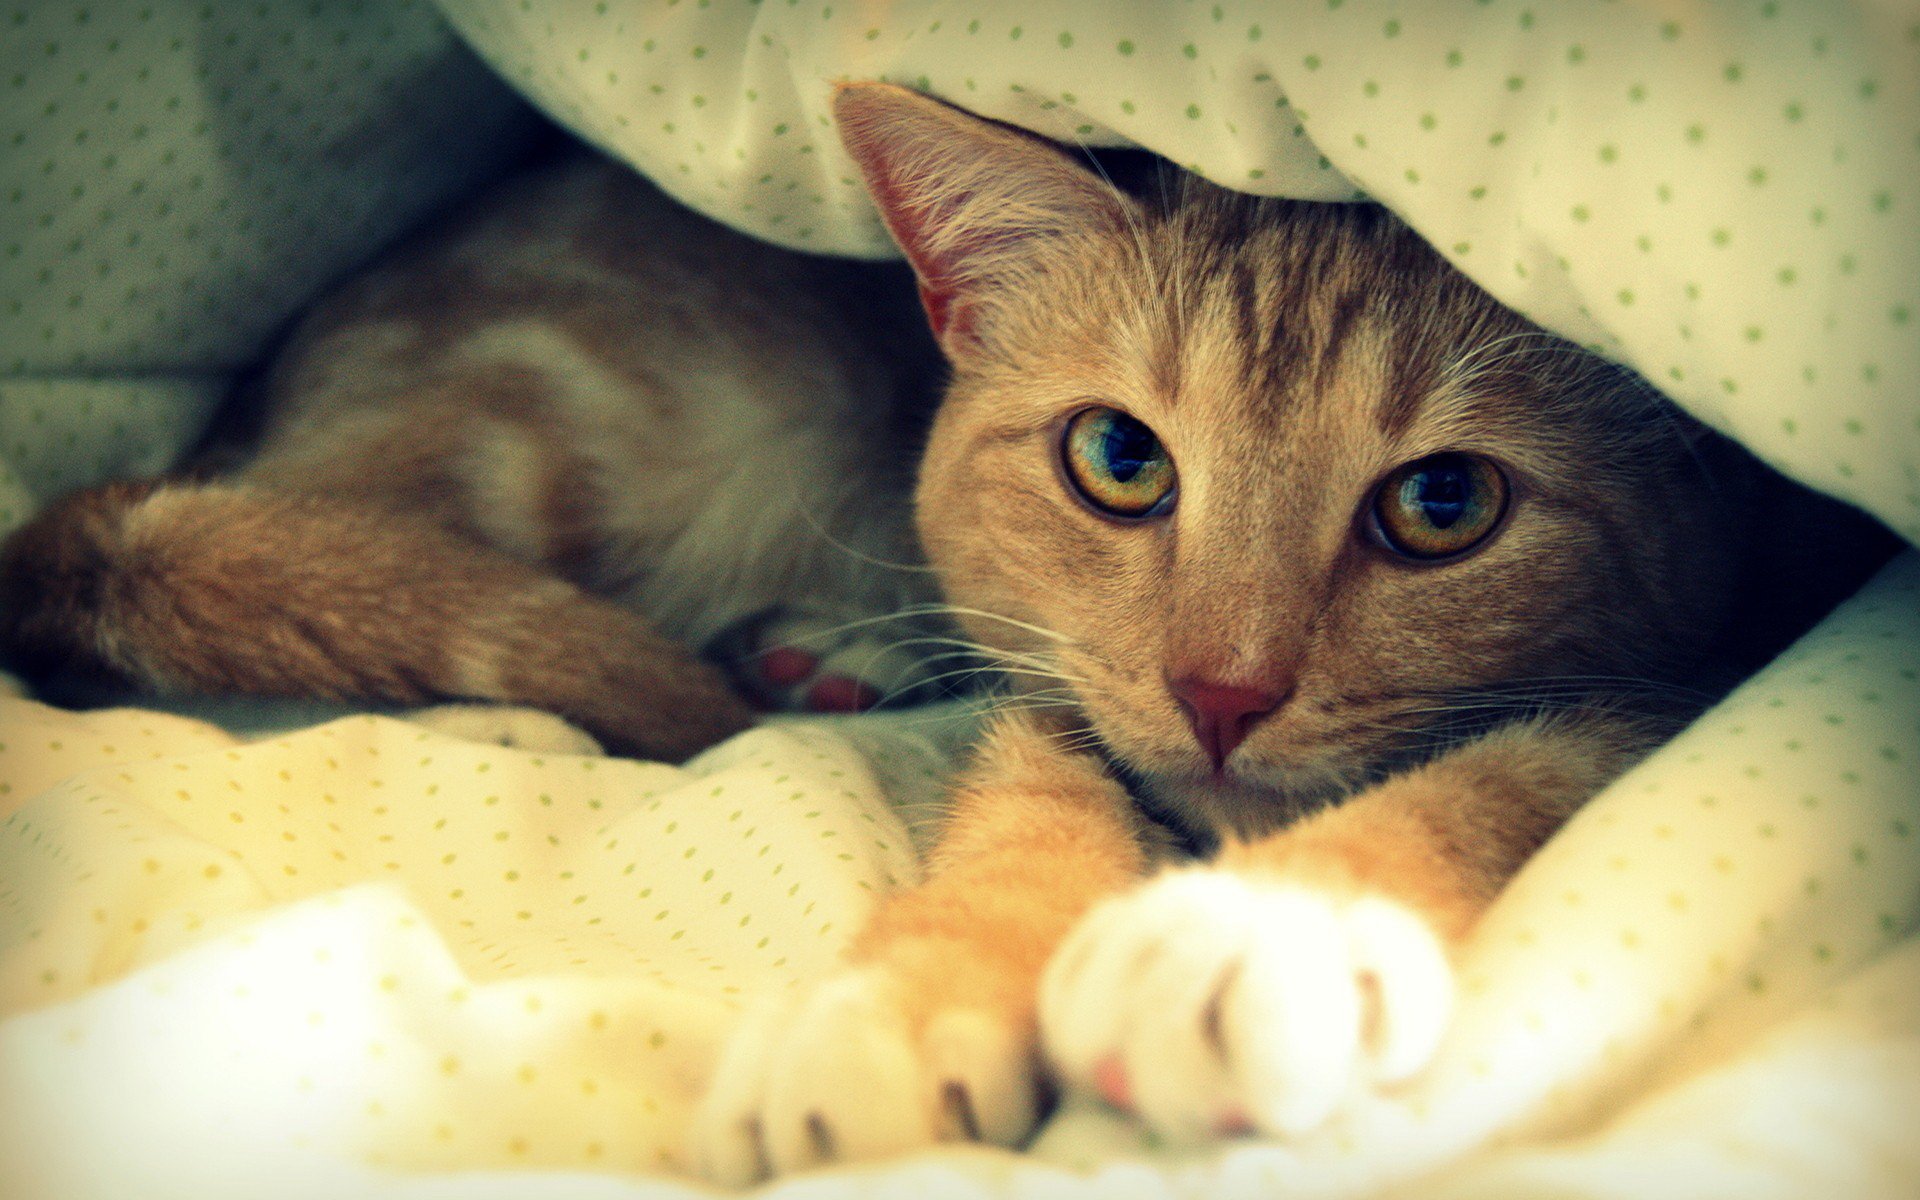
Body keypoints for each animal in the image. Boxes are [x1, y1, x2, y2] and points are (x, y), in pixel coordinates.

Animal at [687, 84, 1889, 1182]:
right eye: (1120, 456)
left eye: (1444, 501)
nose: (1221, 696)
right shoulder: (1065, 683)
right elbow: (1033, 782)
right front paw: (898, 993)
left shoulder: (1704, 678)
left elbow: (1515, 772)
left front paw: (1257, 931)